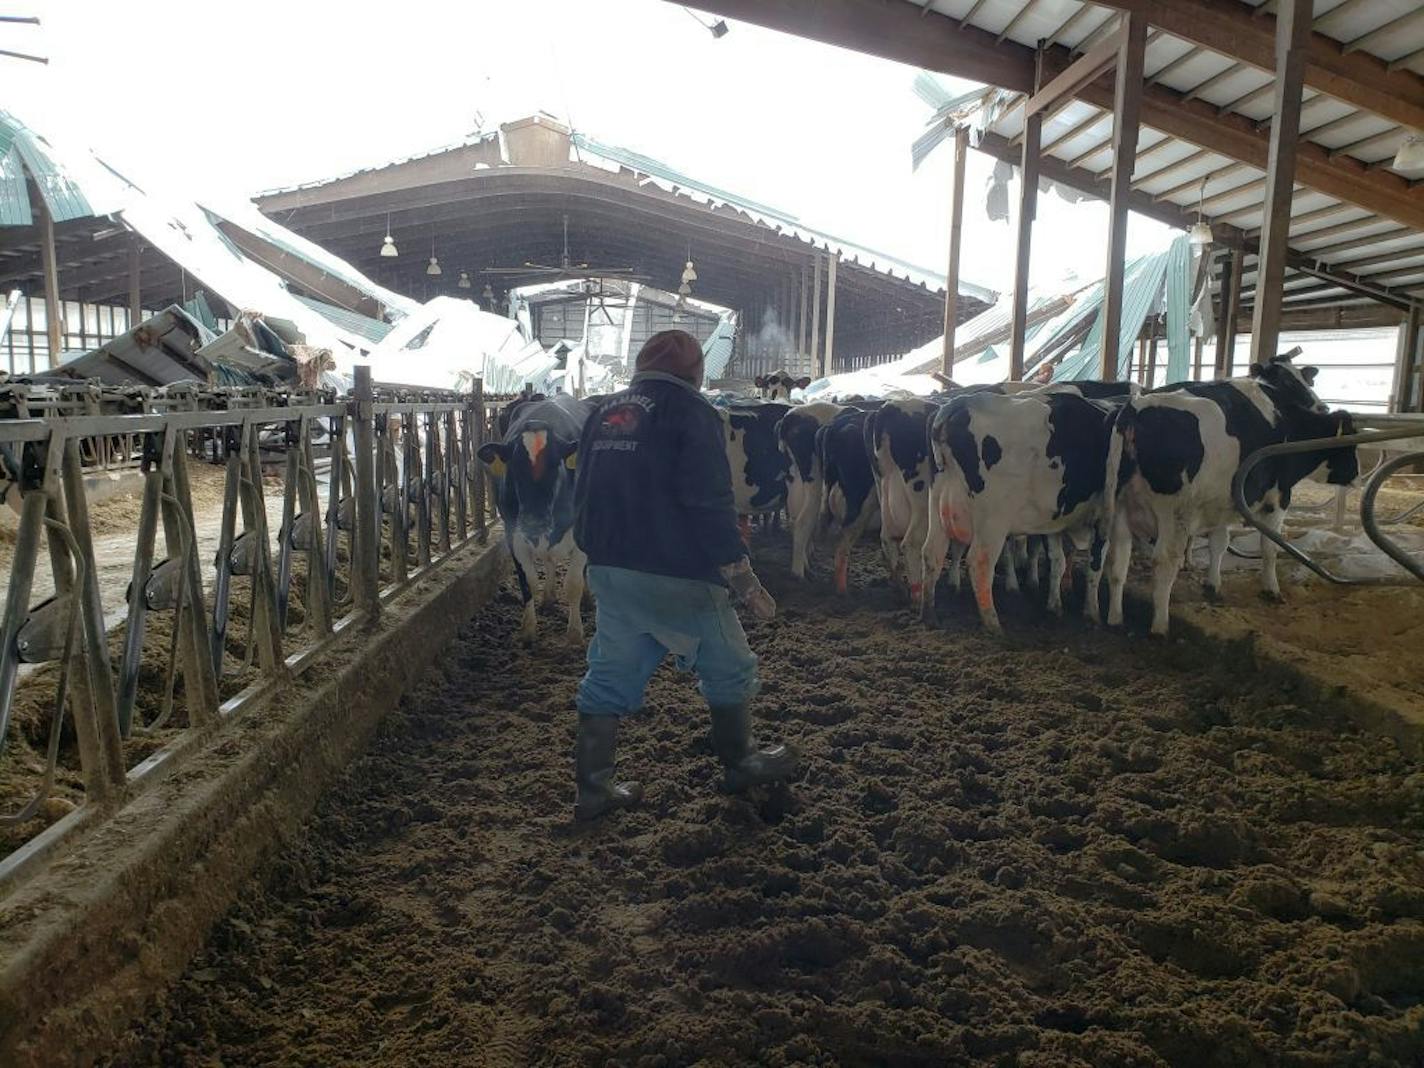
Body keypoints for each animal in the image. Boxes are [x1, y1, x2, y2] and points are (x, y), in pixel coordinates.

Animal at [478, 393, 589, 643]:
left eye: (556, 465)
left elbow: (574, 583)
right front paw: (528, 629)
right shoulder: (514, 533)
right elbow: (528, 581)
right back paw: (548, 598)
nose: (533, 521)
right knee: (549, 560)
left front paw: (575, 634)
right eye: (513, 467)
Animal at [780, 401, 843, 580]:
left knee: (795, 515)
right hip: (813, 474)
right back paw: (799, 574)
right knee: (804, 519)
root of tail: (791, 416)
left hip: (794, 474)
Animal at [922, 390, 1122, 632]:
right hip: (992, 521)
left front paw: (1055, 605)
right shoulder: (1105, 518)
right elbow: (1095, 565)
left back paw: (929, 614)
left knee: (932, 553)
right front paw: (1092, 613)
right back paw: (992, 622)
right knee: (979, 562)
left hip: (938, 506)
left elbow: (1058, 562)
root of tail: (963, 402)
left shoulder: (1054, 521)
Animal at [1099, 356, 1355, 635]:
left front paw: (1213, 584)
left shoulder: (1220, 503)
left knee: (1117, 558)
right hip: (1173, 513)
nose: (1322, 406)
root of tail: (1135, 408)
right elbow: (1270, 547)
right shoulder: (1278, 497)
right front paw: (1271, 589)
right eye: (1290, 381)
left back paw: (1115, 618)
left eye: (1306, 379)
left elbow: (1219, 543)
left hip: (1119, 506)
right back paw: (1160, 626)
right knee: (1165, 562)